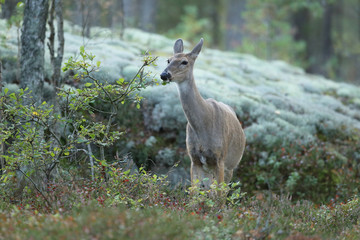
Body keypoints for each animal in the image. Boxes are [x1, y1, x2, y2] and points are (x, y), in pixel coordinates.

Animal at [162, 38, 246, 188]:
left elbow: (218, 194)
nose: (164, 74)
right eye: (168, 60)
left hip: (230, 166)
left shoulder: (220, 159)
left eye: (184, 62)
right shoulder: (194, 159)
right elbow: (194, 192)